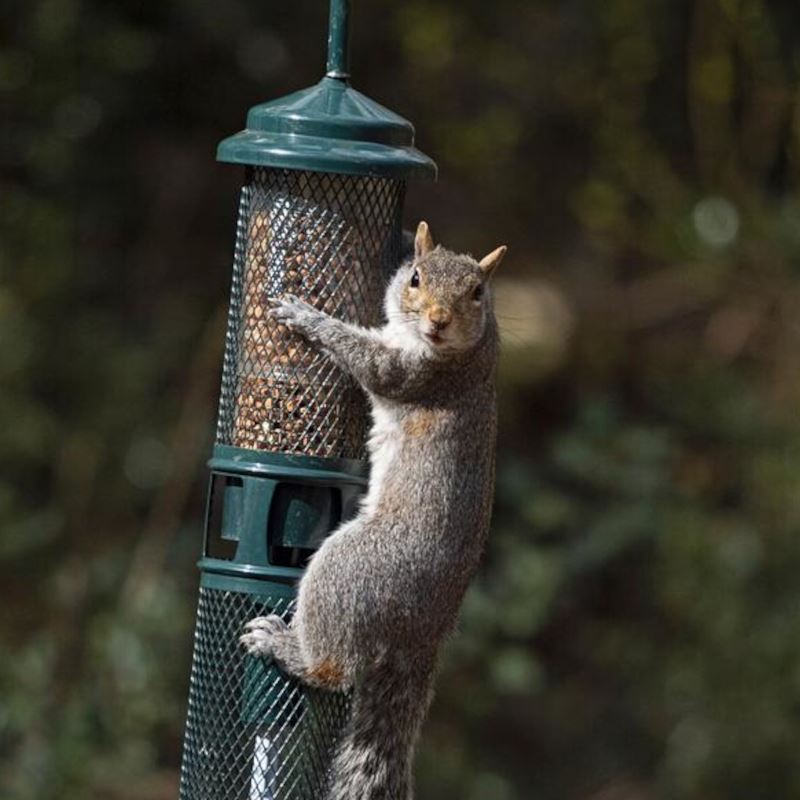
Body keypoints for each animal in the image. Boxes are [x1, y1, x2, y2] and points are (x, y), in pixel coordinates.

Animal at [241, 220, 510, 800]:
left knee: (333, 670)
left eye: (477, 293)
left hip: (353, 566)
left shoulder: (412, 374)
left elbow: (366, 360)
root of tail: (423, 633)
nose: (438, 320)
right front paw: (407, 236)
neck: (469, 349)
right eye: (415, 278)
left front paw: (307, 316)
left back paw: (286, 648)